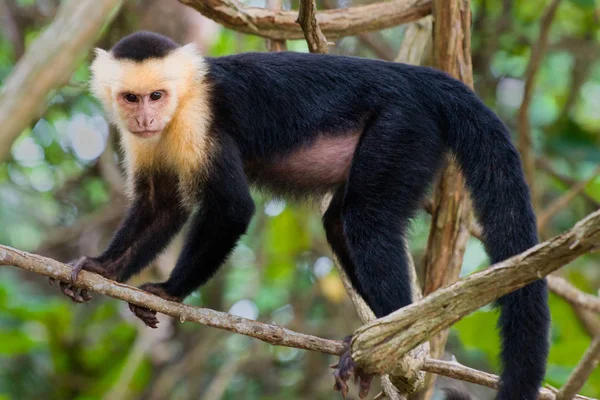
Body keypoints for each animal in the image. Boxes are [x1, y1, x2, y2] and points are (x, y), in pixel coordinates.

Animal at [54, 32, 552, 400]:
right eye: (131, 98)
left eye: (157, 95)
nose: (145, 118)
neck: (181, 105)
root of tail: (417, 77)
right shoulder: (144, 139)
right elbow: (161, 205)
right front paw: (104, 267)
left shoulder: (199, 121)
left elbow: (232, 209)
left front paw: (170, 291)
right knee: (340, 224)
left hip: (403, 124)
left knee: (366, 222)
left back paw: (389, 344)